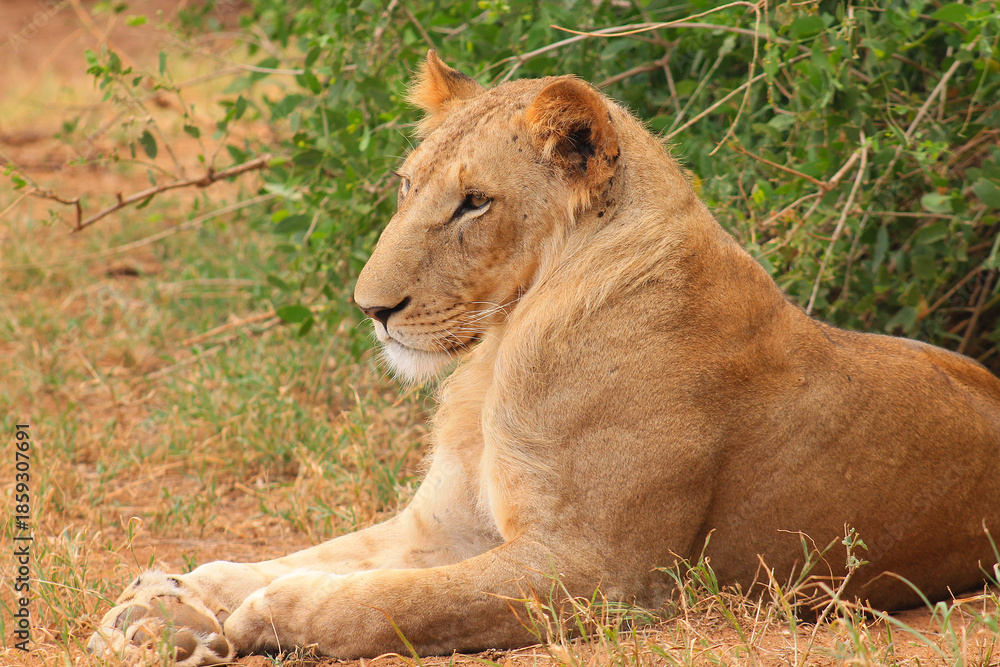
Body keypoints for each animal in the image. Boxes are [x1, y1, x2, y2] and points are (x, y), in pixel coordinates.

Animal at [89, 50, 1000, 665]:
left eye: (474, 202)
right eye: (406, 186)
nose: (371, 309)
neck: (496, 355)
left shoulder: (599, 569)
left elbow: (392, 600)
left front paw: (261, 618)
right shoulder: (446, 522)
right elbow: (310, 554)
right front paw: (164, 599)